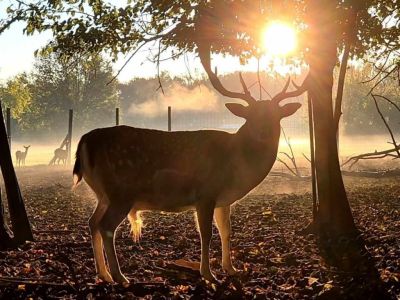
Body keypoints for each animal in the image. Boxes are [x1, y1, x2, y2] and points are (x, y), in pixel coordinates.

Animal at [71, 72, 304, 284]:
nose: (264, 131)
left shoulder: (223, 200)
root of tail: (84, 141)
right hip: (121, 192)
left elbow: (226, 231)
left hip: (104, 194)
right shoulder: (206, 193)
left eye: (276, 115)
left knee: (92, 222)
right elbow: (206, 233)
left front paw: (231, 269)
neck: (237, 166)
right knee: (106, 226)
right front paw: (209, 274)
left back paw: (103, 274)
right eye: (250, 115)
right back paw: (120, 276)